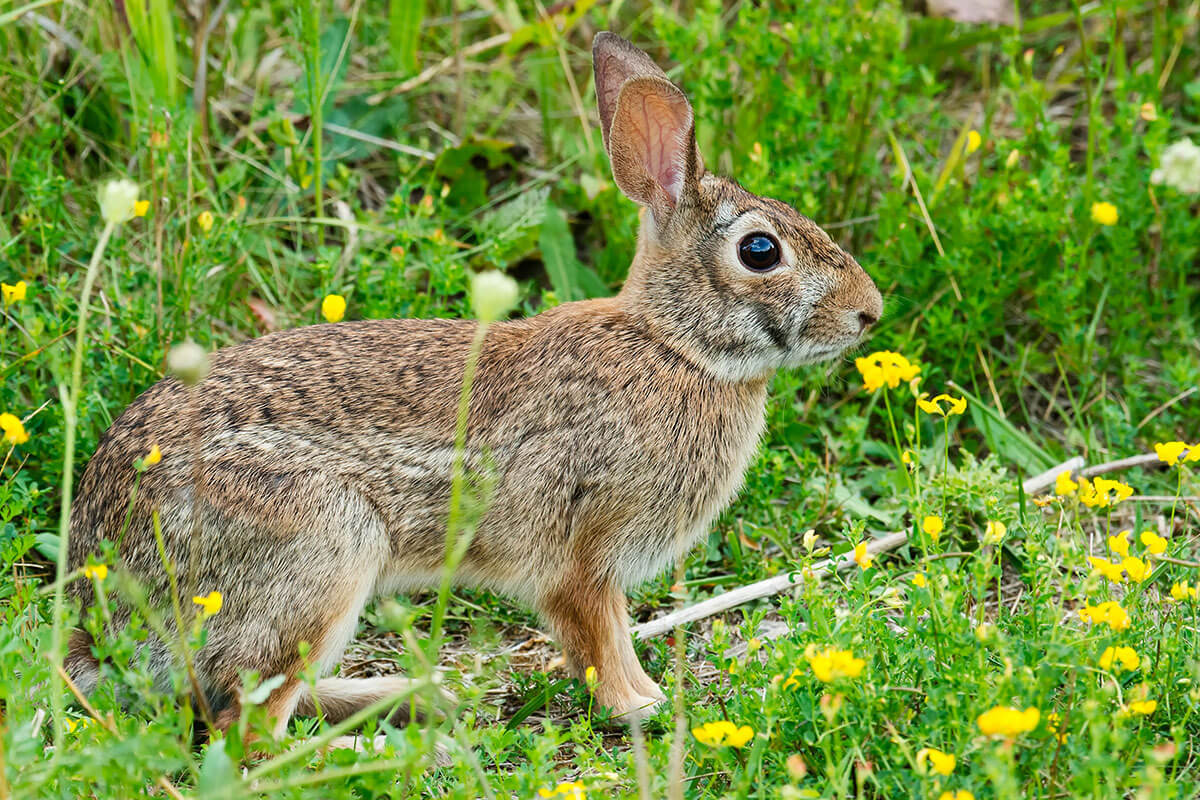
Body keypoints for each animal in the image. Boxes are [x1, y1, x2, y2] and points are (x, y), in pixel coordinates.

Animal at [68, 29, 883, 734]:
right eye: (759, 251)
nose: (868, 312)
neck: (675, 347)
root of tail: (100, 605)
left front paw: (655, 700)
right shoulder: (583, 557)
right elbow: (600, 641)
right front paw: (642, 709)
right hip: (321, 555)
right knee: (243, 723)